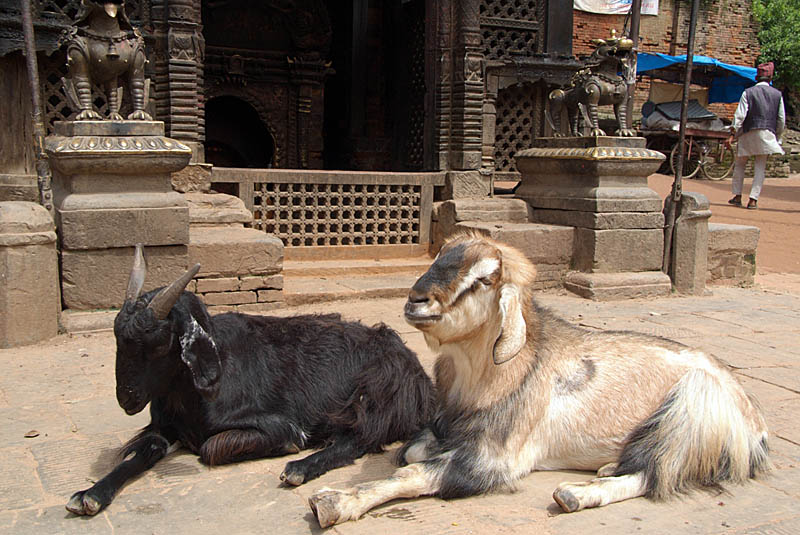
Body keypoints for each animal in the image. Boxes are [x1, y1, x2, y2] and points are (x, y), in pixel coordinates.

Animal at [66, 246, 434, 516]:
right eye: (117, 337)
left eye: (158, 344)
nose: (126, 398)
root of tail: (413, 365)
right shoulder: (162, 428)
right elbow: (147, 448)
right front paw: (90, 494)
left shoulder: (279, 425)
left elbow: (211, 448)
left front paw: (291, 450)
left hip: (374, 395)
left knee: (359, 439)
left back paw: (300, 468)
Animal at [306, 233, 768, 528]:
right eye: (437, 259)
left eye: (484, 280)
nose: (417, 301)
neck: (503, 374)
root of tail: (755, 423)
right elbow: (412, 451)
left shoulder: (495, 459)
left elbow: (411, 473)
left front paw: (334, 502)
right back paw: (606, 467)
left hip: (695, 401)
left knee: (657, 473)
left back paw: (576, 493)